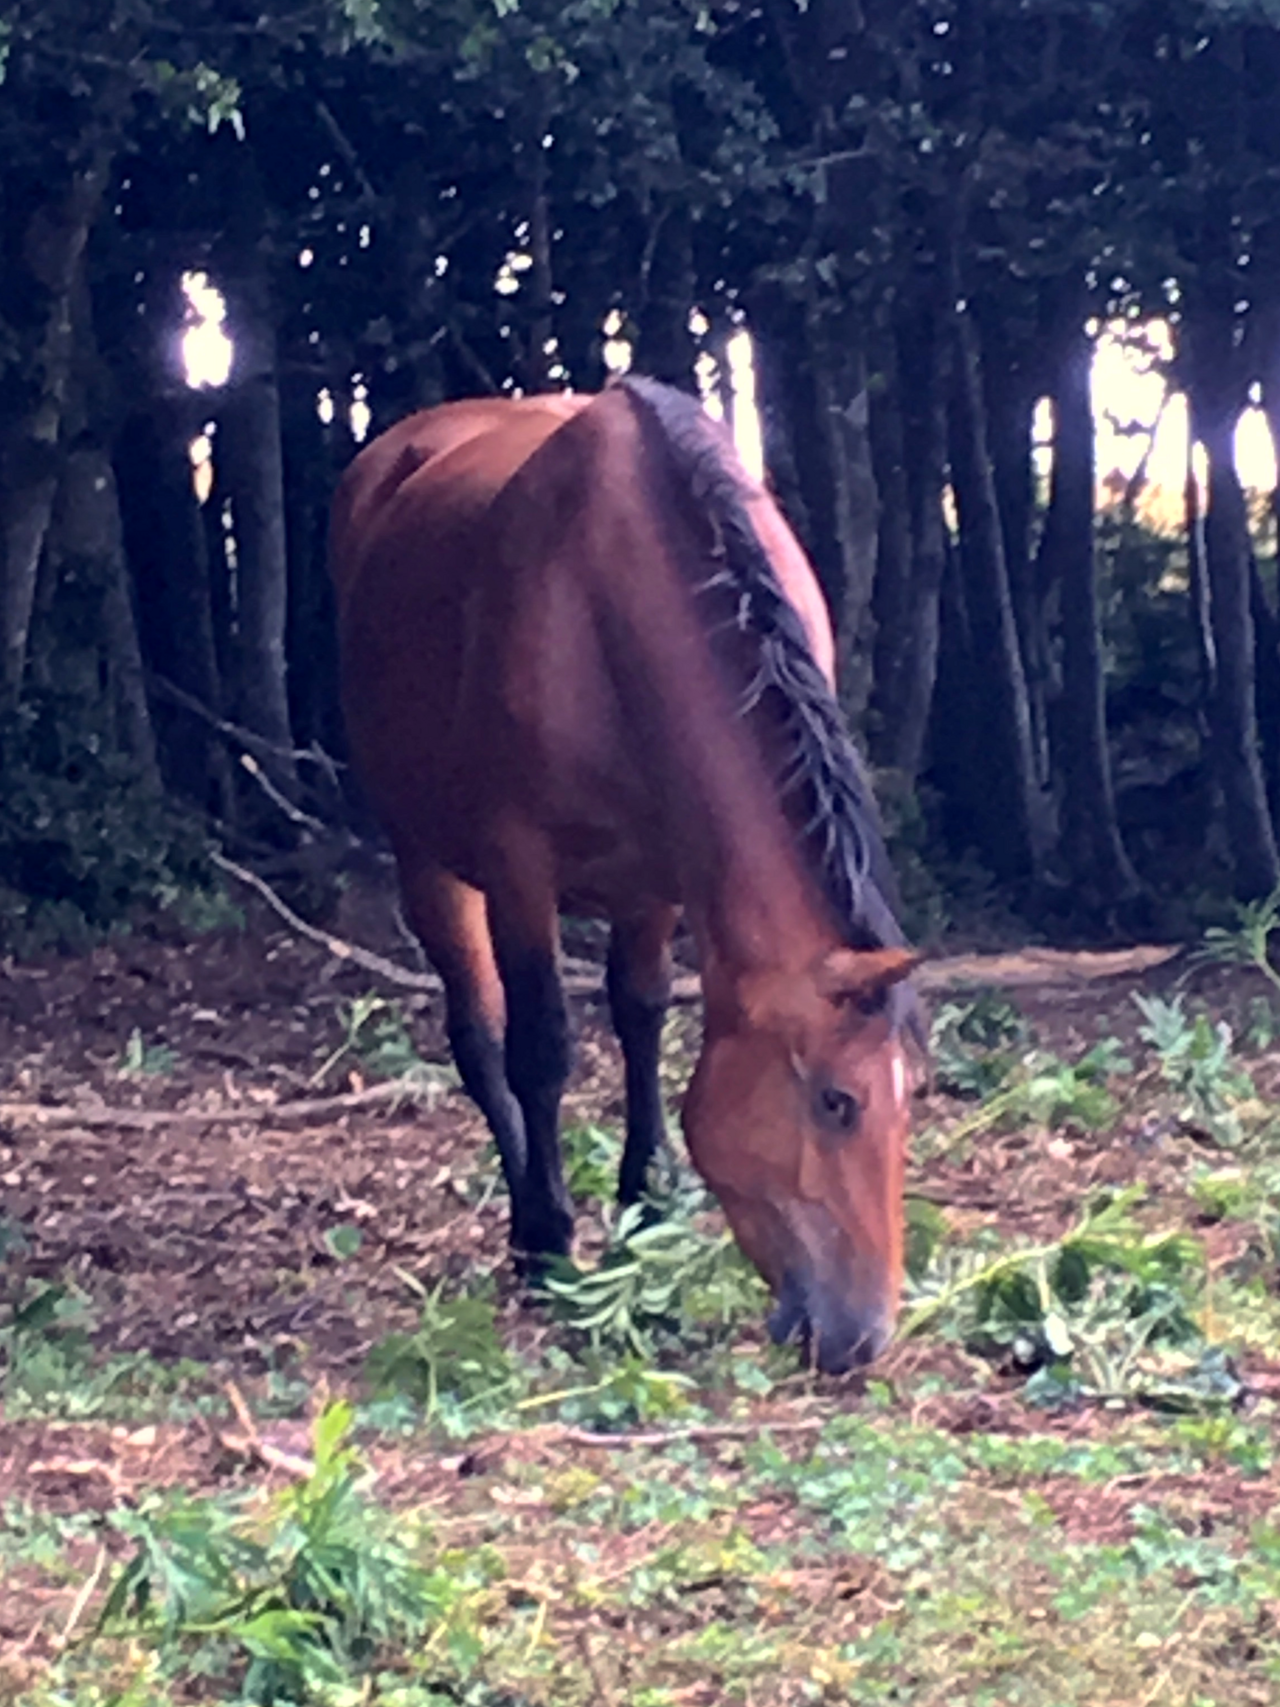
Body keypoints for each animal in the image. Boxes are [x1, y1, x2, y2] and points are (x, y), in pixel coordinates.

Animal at [329, 375, 918, 1373]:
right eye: (837, 1102)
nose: (864, 1335)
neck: (612, 603)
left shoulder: (663, 876)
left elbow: (642, 1015)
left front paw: (646, 1197)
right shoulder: (518, 869)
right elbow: (542, 1048)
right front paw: (552, 1240)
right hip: (429, 858)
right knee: (480, 1034)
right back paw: (530, 1217)